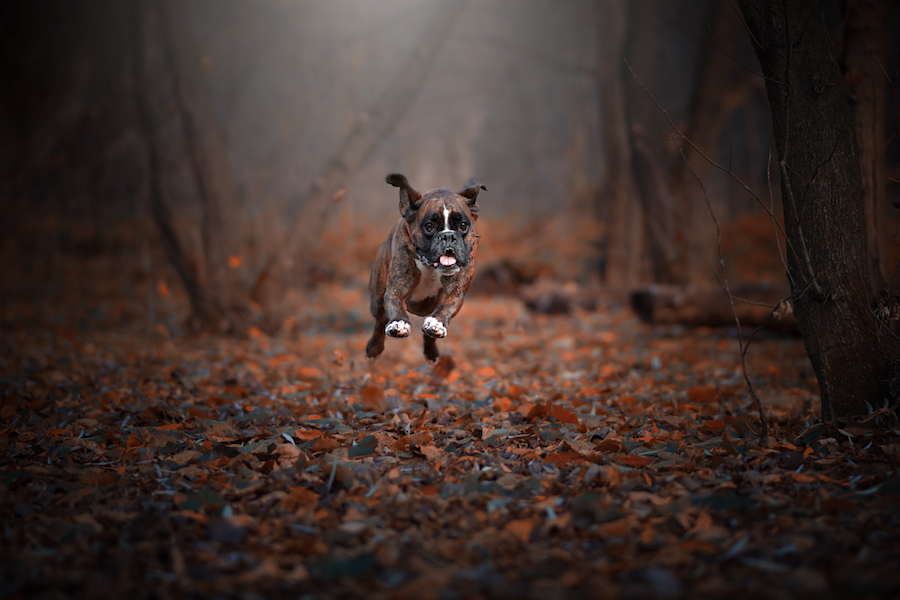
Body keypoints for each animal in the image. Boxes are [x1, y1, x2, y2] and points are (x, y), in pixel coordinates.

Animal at [364, 171, 486, 364]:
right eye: (429, 227)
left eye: (463, 225)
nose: (448, 236)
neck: (430, 267)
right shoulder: (397, 287)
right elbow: (394, 303)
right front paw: (399, 323)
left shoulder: (456, 290)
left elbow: (446, 307)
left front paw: (436, 323)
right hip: (376, 299)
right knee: (379, 320)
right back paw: (374, 348)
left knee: (429, 335)